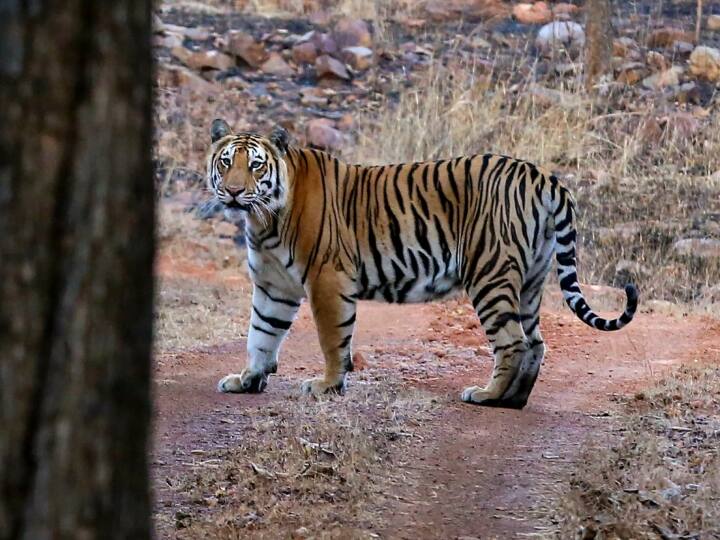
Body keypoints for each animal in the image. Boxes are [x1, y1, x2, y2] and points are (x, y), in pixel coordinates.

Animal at [205, 118, 640, 410]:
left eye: (256, 165)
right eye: (226, 162)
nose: (233, 192)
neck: (263, 220)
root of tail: (541, 175)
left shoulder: (328, 279)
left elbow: (331, 339)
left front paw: (327, 385)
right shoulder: (273, 286)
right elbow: (261, 335)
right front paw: (247, 380)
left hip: (490, 274)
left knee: (513, 342)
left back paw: (486, 395)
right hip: (530, 281)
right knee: (535, 342)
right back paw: (512, 401)